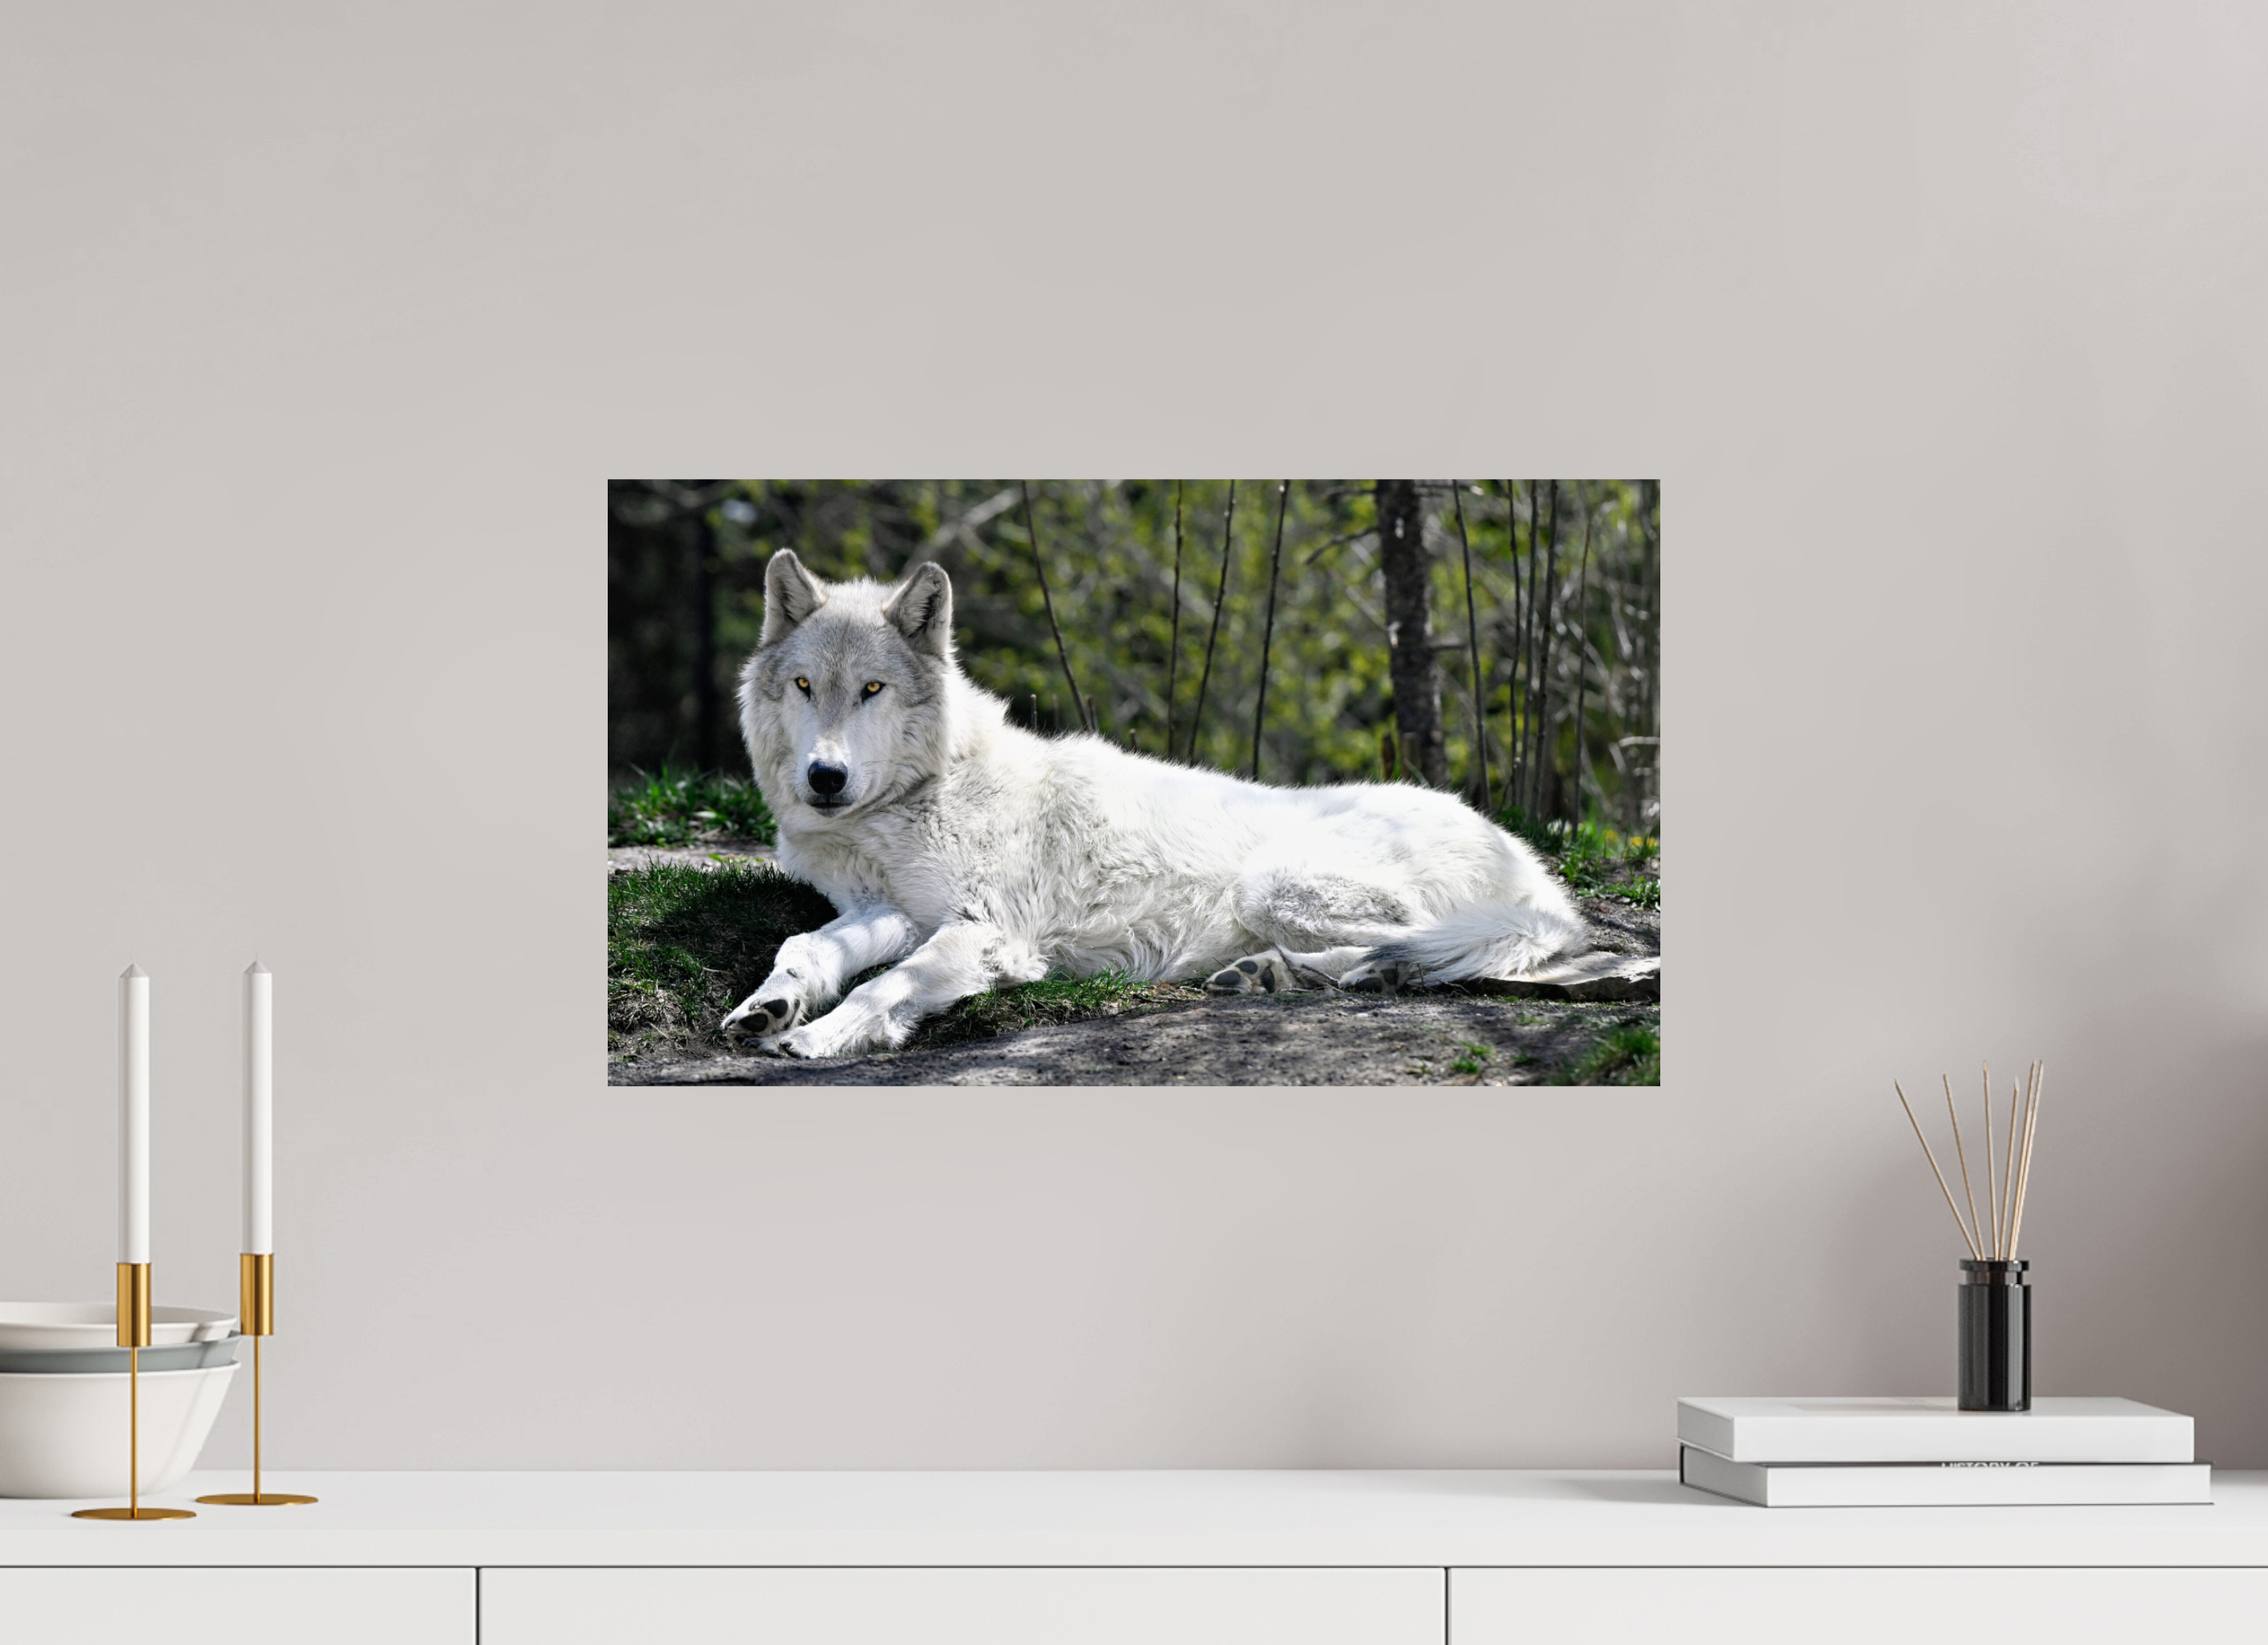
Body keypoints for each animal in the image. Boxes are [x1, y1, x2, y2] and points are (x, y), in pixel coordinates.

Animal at [720, 550, 1587, 1058]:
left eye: (872, 689)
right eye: (805, 686)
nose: (824, 778)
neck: (918, 799)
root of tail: (1533, 867)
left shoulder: (989, 933)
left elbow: (882, 985)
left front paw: (822, 1033)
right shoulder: (892, 910)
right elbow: (806, 944)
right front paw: (770, 1004)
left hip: (1275, 885)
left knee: (1438, 945)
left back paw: (1317, 973)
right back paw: (1269, 975)